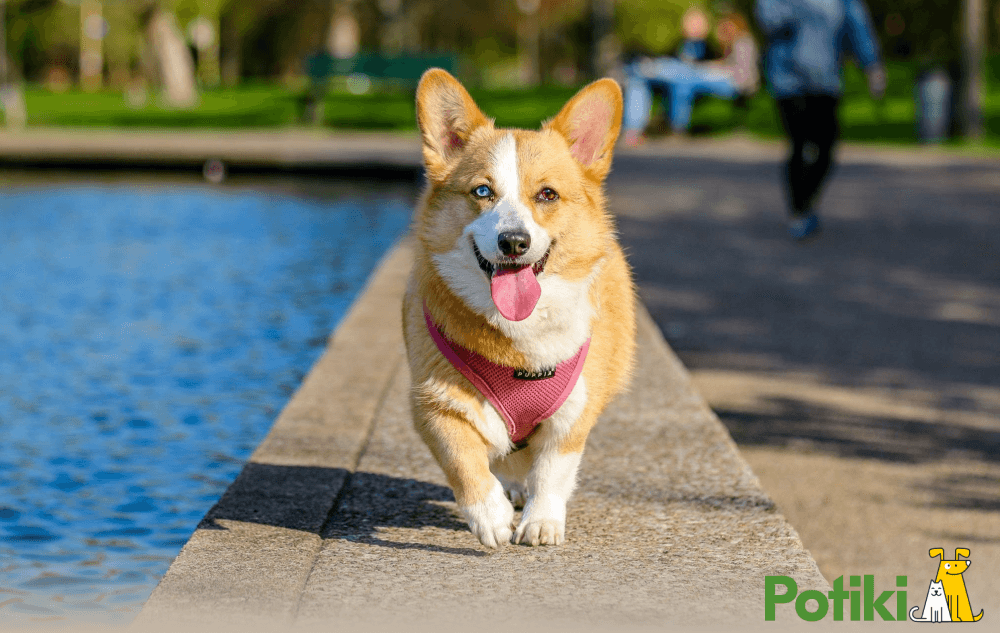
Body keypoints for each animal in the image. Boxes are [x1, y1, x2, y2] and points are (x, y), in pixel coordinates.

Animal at [402, 66, 636, 544]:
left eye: (547, 195)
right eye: (482, 191)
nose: (514, 242)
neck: (518, 338)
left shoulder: (573, 414)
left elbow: (552, 471)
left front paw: (541, 521)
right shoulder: (433, 403)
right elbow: (463, 460)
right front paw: (489, 515)